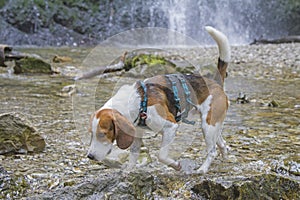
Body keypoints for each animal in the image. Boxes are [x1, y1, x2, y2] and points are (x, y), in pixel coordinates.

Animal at [86, 26, 230, 173]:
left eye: (102, 135)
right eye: (91, 134)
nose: (90, 156)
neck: (137, 102)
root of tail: (214, 81)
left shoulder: (170, 126)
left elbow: (161, 156)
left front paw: (176, 165)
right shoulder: (136, 133)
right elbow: (133, 155)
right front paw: (128, 171)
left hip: (208, 125)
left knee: (212, 151)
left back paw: (203, 169)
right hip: (212, 124)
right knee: (221, 143)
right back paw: (224, 156)